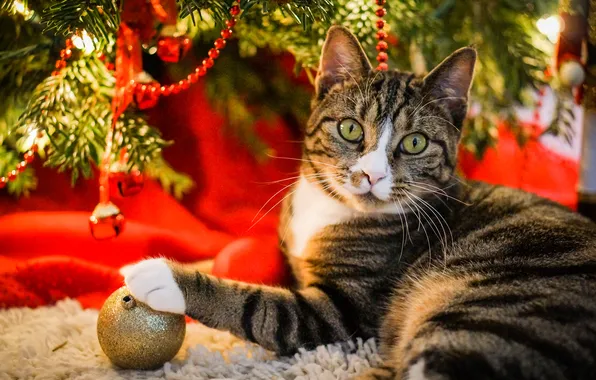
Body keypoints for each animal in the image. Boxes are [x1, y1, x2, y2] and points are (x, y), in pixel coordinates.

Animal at [120, 25, 596, 378]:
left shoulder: (342, 308)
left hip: (485, 312)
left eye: (415, 142)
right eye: (350, 129)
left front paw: (163, 276)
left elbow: (258, 305)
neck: (330, 209)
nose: (372, 174)